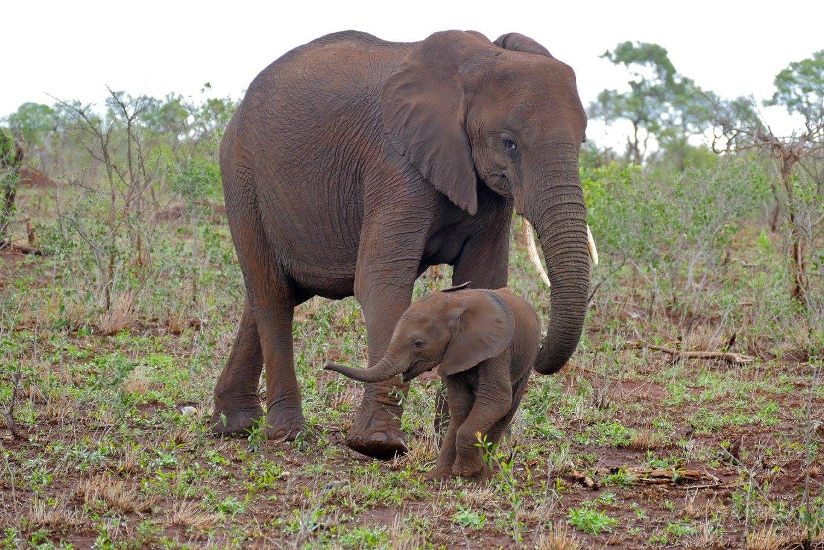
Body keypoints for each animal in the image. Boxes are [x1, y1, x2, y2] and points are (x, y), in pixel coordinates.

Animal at [328, 286, 540, 480]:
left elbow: (497, 399)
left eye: (418, 343)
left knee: (506, 411)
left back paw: (486, 475)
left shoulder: (498, 351)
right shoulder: (453, 353)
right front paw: (462, 473)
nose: (326, 364)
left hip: (526, 360)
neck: (456, 305)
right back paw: (436, 477)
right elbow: (461, 401)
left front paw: (470, 473)